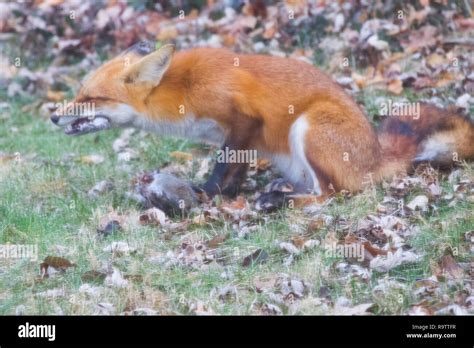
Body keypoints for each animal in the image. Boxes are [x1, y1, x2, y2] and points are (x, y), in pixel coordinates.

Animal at [50, 41, 472, 209]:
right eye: (79, 92)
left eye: (90, 98)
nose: (53, 116)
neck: (181, 89)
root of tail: (377, 155)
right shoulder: (243, 137)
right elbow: (234, 169)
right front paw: (224, 194)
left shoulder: (243, 118)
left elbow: (221, 166)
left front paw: (205, 194)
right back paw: (279, 191)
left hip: (307, 128)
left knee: (334, 195)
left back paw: (278, 202)